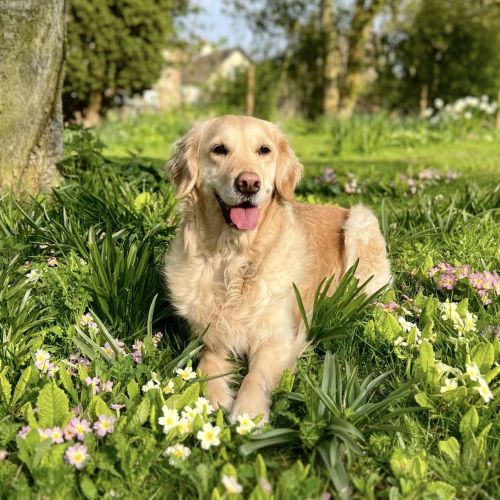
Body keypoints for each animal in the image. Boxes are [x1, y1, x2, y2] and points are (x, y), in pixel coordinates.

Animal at [164, 114, 390, 422]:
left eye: (264, 150)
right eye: (219, 149)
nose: (249, 183)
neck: (235, 259)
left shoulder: (279, 338)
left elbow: (255, 375)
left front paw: (247, 414)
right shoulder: (211, 335)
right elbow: (206, 364)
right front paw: (213, 399)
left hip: (361, 220)